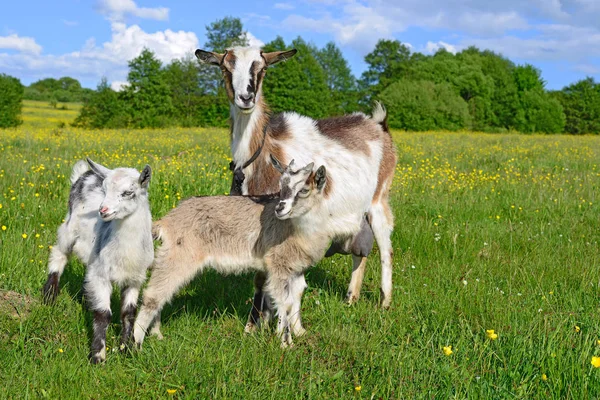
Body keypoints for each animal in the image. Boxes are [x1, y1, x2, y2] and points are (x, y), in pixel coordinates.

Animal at [195, 46, 396, 328]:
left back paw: (385, 302)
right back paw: (351, 298)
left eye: (262, 68)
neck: (262, 155)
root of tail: (379, 125)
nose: (246, 98)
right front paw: (262, 320)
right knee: (360, 250)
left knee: (386, 248)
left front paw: (257, 324)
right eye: (225, 67)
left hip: (379, 198)